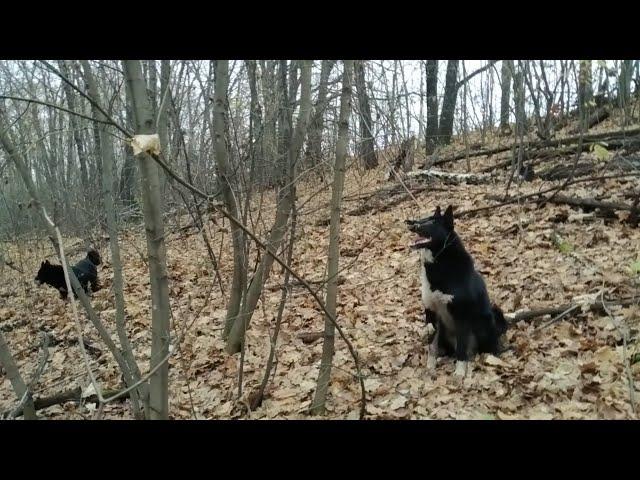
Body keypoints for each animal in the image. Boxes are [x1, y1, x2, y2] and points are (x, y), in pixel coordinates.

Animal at [408, 204, 508, 376]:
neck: (440, 264)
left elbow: (462, 348)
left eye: (432, 223)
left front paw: (460, 372)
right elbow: (432, 346)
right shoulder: (431, 313)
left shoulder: (461, 316)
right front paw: (430, 367)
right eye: (423, 219)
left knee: (486, 348)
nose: (411, 224)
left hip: (483, 323)